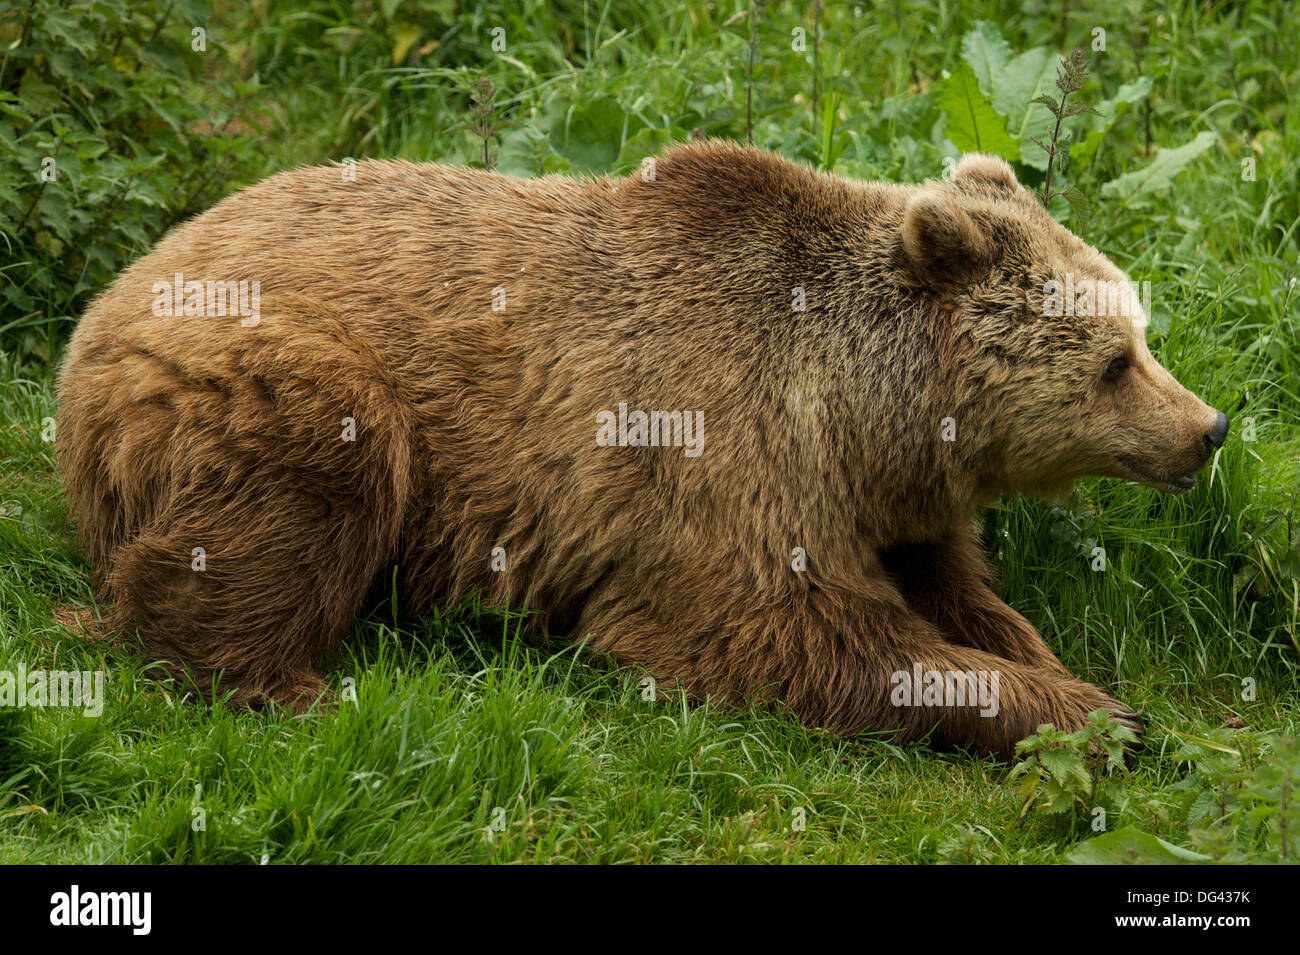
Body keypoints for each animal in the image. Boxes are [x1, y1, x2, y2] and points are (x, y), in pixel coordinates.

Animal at [56, 142, 1228, 759]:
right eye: (1115, 361)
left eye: (1139, 332)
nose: (1207, 429)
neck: (861, 413)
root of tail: (109, 294)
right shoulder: (721, 456)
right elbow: (789, 629)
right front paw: (1093, 713)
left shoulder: (886, 497)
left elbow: (959, 588)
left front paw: (1058, 669)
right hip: (255, 368)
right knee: (308, 475)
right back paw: (289, 684)